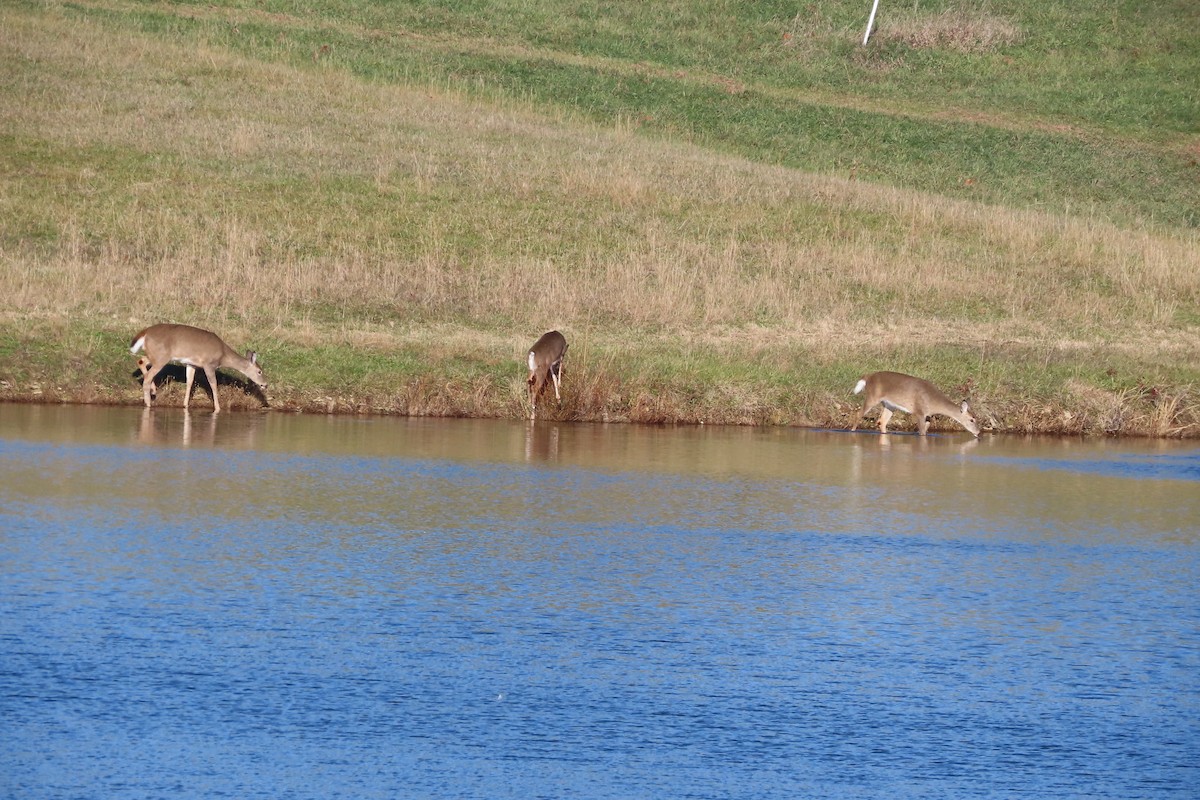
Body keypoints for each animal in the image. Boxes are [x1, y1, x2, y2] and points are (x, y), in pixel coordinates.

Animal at [130, 323, 267, 413]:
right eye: (259, 371)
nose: (265, 385)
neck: (223, 355)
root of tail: (145, 333)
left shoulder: (192, 364)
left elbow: (190, 382)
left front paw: (185, 405)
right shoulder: (209, 364)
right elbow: (213, 385)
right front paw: (218, 408)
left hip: (155, 355)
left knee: (141, 361)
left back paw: (153, 391)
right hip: (161, 357)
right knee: (147, 376)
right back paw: (148, 403)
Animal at [851, 371, 980, 437]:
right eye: (971, 420)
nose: (978, 432)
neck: (933, 401)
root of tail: (868, 377)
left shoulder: (928, 415)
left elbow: (925, 431)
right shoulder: (919, 411)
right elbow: (922, 432)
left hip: (889, 405)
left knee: (881, 421)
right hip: (872, 397)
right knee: (858, 414)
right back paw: (852, 431)